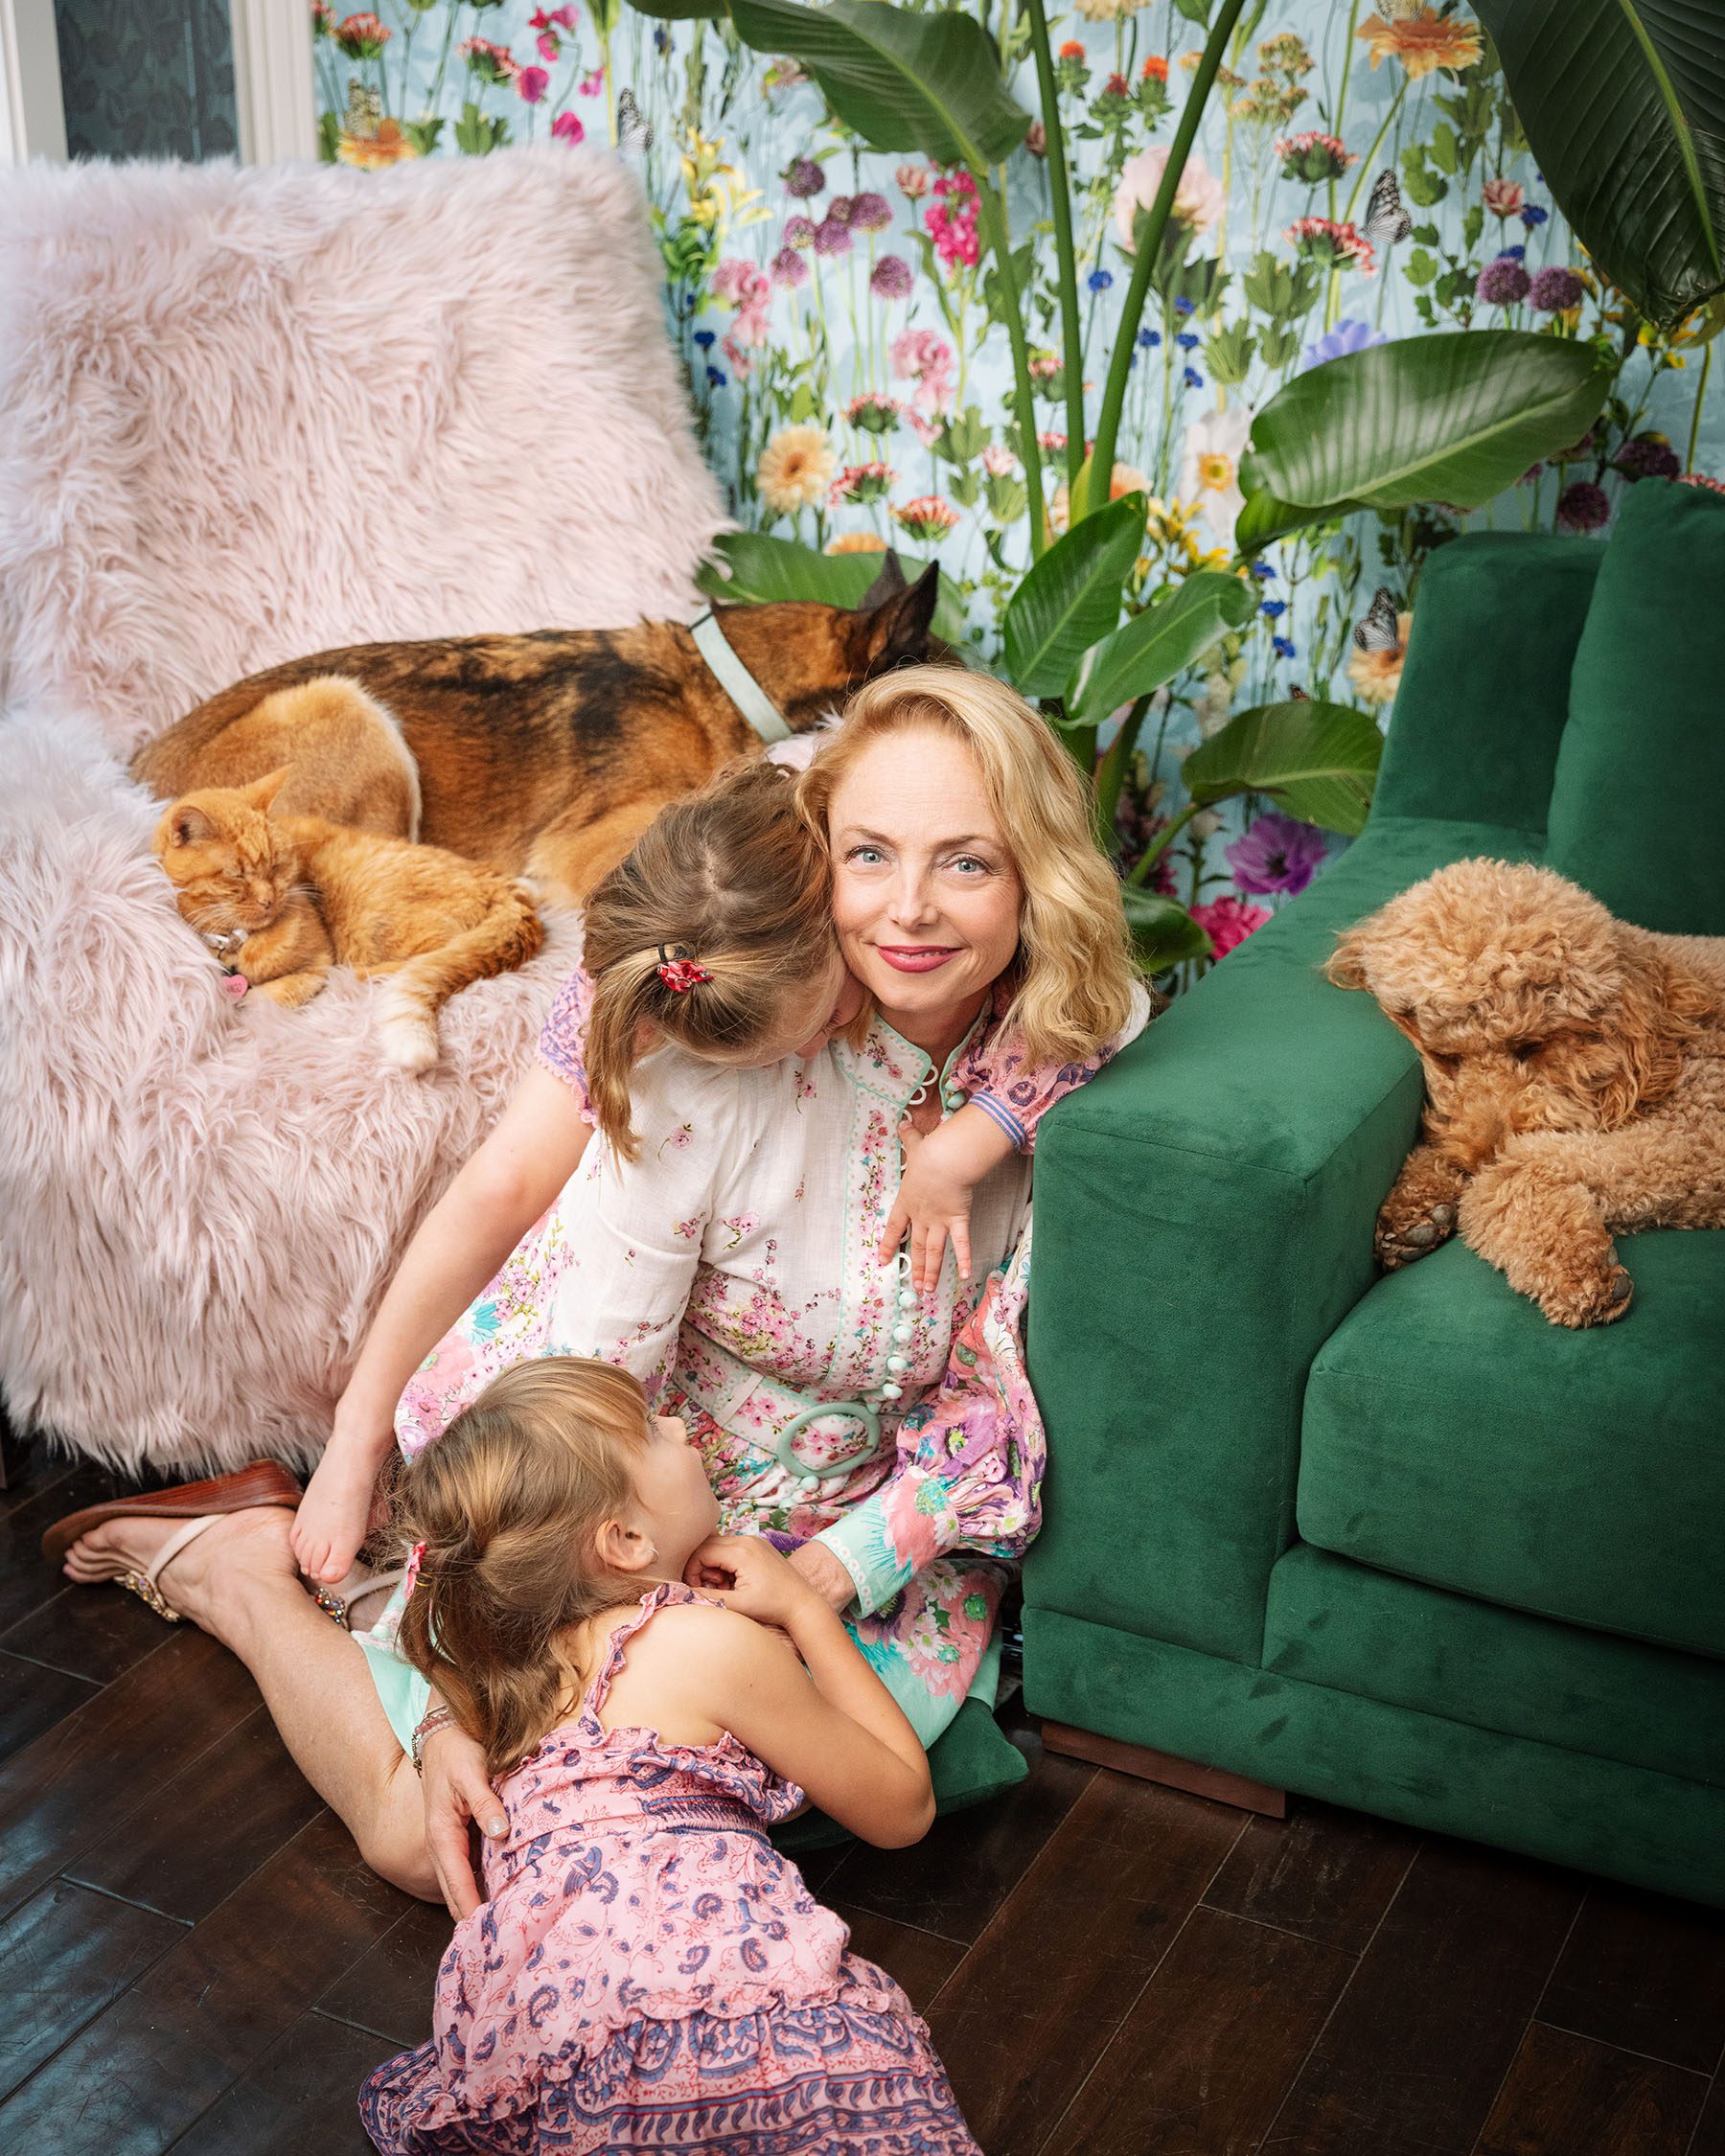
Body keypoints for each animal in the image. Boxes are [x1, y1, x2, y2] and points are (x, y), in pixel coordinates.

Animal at [157, 776, 545, 1078]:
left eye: (277, 865)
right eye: (237, 876)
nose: (270, 899)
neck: (235, 943)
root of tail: (496, 881)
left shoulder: (316, 964)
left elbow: (261, 999)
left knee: (428, 958)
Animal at [1328, 858, 1716, 1328]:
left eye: (1530, 1046)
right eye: (1444, 1056)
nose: (1482, 1155)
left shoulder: (1698, 1134)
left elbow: (1521, 1165)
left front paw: (1576, 1268)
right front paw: (1416, 1204)